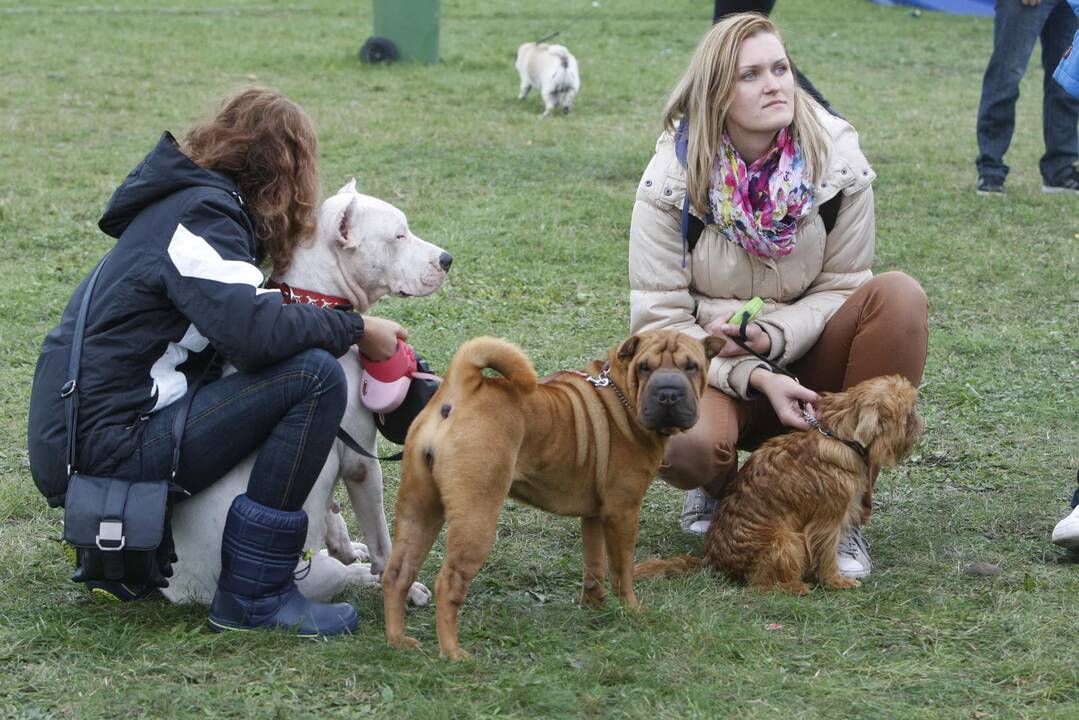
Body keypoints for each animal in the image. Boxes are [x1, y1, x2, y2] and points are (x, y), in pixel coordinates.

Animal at [161, 180, 448, 608]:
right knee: (340, 577)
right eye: (398, 236)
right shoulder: (361, 462)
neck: (319, 302)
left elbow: (330, 512)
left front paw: (344, 544)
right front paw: (401, 585)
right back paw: (361, 575)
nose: (448, 259)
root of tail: (182, 591)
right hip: (311, 577)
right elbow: (383, 540)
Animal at [379, 332, 725, 660]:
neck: (622, 396)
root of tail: (462, 389)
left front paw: (595, 606)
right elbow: (622, 568)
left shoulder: (595, 515)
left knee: (398, 573)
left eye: (691, 366)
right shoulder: (623, 511)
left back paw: (398, 641)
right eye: (645, 367)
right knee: (449, 582)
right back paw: (452, 652)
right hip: (476, 518)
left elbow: (594, 564)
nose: (668, 393)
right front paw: (631, 609)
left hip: (420, 508)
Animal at [634, 375, 923, 595]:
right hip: (787, 540)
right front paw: (836, 581)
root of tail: (712, 559)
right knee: (761, 585)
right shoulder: (827, 521)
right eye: (906, 414)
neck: (837, 435)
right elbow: (826, 553)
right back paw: (795, 586)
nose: (918, 422)